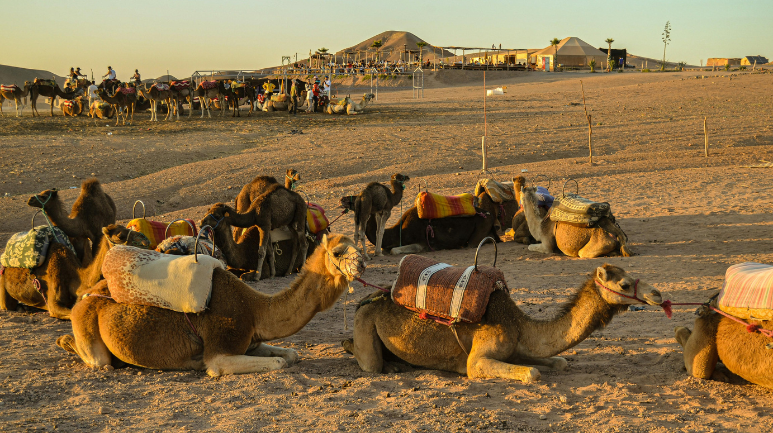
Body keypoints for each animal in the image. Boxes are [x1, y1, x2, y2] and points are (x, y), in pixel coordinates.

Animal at [57, 233, 364, 374]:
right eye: (338, 251)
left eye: (356, 245)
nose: (361, 264)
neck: (255, 309)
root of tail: (85, 297)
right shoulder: (221, 347)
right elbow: (277, 362)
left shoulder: (251, 341)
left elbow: (291, 354)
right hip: (88, 327)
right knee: (99, 360)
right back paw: (66, 341)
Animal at [344, 262, 664, 380]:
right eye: (624, 284)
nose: (657, 294)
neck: (520, 324)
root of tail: (365, 300)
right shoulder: (477, 360)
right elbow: (532, 373)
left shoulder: (517, 347)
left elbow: (559, 362)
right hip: (365, 323)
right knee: (368, 361)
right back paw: (389, 365)